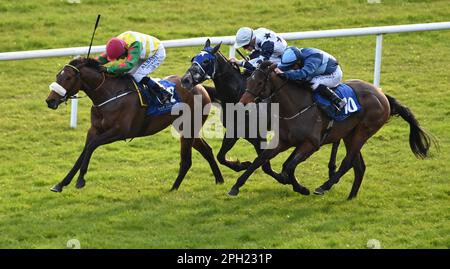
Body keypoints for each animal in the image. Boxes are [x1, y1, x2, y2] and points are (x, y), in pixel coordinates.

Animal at [44, 56, 224, 192]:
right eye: (57, 76)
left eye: (68, 78)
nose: (50, 100)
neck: (109, 95)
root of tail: (200, 87)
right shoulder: (94, 130)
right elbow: (84, 151)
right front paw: (61, 183)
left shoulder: (121, 132)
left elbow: (92, 146)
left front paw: (80, 180)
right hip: (185, 128)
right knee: (207, 150)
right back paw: (219, 180)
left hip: (188, 127)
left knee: (187, 160)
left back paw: (173, 189)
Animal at [179, 39, 342, 185]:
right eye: (193, 59)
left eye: (206, 61)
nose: (185, 80)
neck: (237, 95)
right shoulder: (236, 131)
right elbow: (221, 157)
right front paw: (241, 164)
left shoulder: (258, 134)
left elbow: (265, 165)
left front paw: (285, 179)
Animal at [229, 61, 436, 199]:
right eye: (248, 80)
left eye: (259, 83)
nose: (242, 103)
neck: (295, 106)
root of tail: (382, 95)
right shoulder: (283, 141)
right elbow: (260, 160)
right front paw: (236, 186)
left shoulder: (311, 144)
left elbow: (288, 166)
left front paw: (300, 187)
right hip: (349, 134)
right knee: (359, 166)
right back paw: (351, 197)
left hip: (363, 131)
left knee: (348, 162)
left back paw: (324, 186)